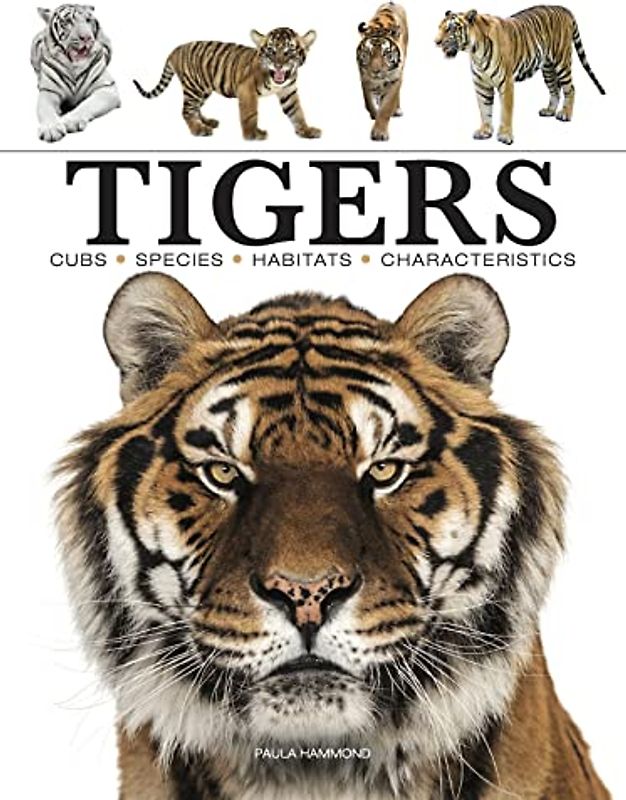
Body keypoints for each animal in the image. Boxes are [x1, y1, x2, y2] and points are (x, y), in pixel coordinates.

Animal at [31, 4, 120, 143]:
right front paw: (51, 129)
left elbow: (87, 104)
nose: (87, 37)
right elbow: (46, 110)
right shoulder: (49, 92)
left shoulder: (107, 88)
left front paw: (70, 121)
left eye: (88, 20)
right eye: (67, 22)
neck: (74, 66)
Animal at [133, 28, 320, 140]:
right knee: (187, 111)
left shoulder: (289, 91)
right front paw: (252, 135)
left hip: (203, 89)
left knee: (195, 109)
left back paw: (207, 122)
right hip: (193, 88)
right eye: (271, 51)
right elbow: (250, 114)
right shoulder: (247, 91)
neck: (277, 82)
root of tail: (176, 49)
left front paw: (306, 130)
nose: (278, 65)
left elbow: (297, 112)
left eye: (289, 52)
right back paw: (199, 130)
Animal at [357, 3, 409, 141]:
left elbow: (386, 107)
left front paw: (379, 132)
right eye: (367, 53)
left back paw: (397, 109)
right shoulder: (364, 77)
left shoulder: (396, 78)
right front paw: (374, 113)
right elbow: (368, 101)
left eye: (386, 54)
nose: (376, 71)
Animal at [435, 6, 606, 145]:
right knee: (554, 89)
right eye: (439, 28)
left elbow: (506, 111)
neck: (475, 51)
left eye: (450, 29)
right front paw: (485, 132)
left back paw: (565, 114)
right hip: (548, 68)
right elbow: (484, 109)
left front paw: (505, 136)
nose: (436, 42)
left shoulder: (506, 83)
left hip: (561, 61)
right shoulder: (481, 85)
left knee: (571, 88)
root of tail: (564, 9)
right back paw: (549, 111)